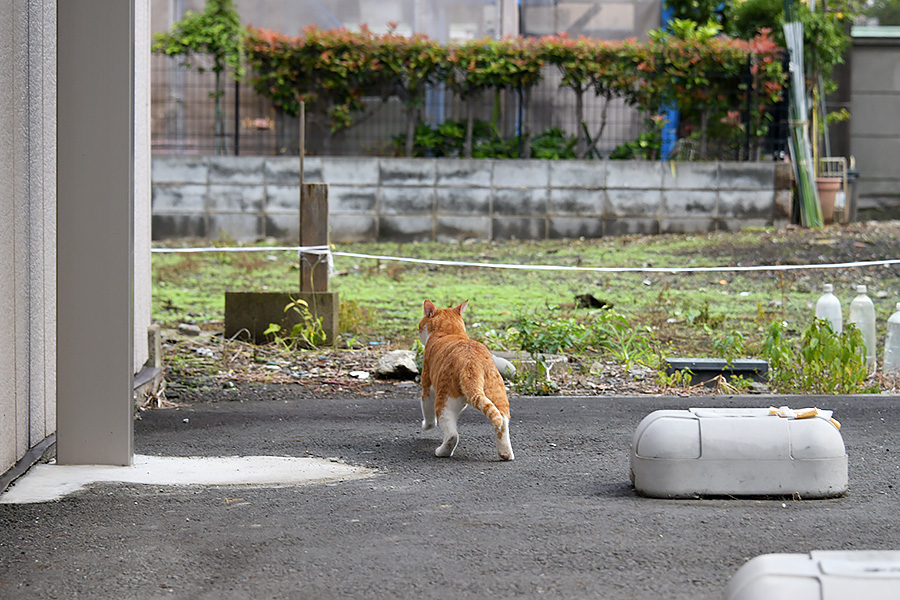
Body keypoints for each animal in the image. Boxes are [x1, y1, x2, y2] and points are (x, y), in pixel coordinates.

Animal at [416, 298, 512, 460]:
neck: (450, 331)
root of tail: (471, 363)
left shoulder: (427, 386)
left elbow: (428, 414)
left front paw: (426, 425)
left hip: (444, 402)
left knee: (452, 435)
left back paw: (442, 452)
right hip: (497, 394)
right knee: (502, 421)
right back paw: (505, 453)